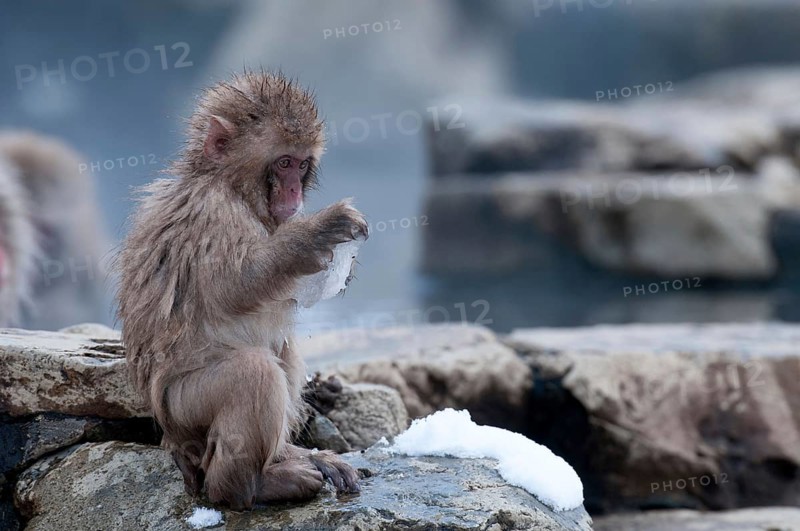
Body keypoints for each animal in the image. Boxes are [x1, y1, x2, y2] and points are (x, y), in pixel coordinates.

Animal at [115, 71, 367, 510]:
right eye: (283, 163)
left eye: (302, 165)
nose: (293, 193)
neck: (228, 185)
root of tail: (174, 443)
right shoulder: (211, 211)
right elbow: (233, 286)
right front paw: (317, 234)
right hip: (183, 408)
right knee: (253, 373)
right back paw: (246, 486)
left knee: (282, 350)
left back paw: (292, 456)